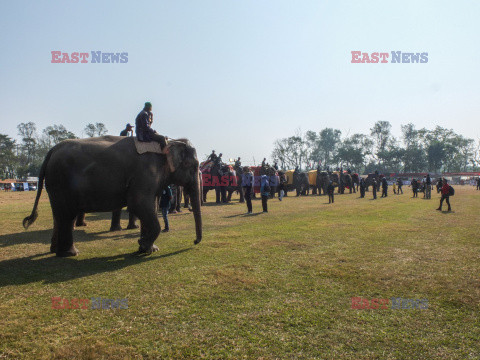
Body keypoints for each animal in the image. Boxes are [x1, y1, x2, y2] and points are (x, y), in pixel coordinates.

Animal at [23, 135, 202, 256]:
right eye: (192, 166)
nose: (194, 241)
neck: (169, 142)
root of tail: (52, 150)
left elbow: (149, 206)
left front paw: (149, 248)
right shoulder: (145, 174)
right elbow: (138, 203)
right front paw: (144, 246)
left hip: (55, 185)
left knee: (59, 215)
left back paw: (55, 251)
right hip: (61, 181)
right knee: (66, 215)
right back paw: (71, 253)